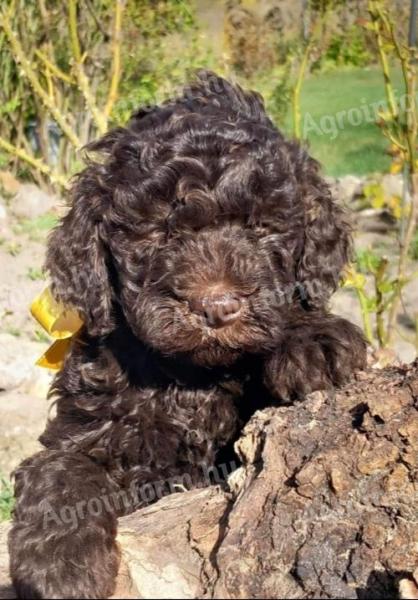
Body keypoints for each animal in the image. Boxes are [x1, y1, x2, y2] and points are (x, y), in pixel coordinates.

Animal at [8, 72, 364, 596]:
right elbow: (60, 468)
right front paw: (60, 566)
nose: (217, 307)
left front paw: (312, 341)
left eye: (262, 226)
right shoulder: (86, 427)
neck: (193, 377)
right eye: (157, 233)